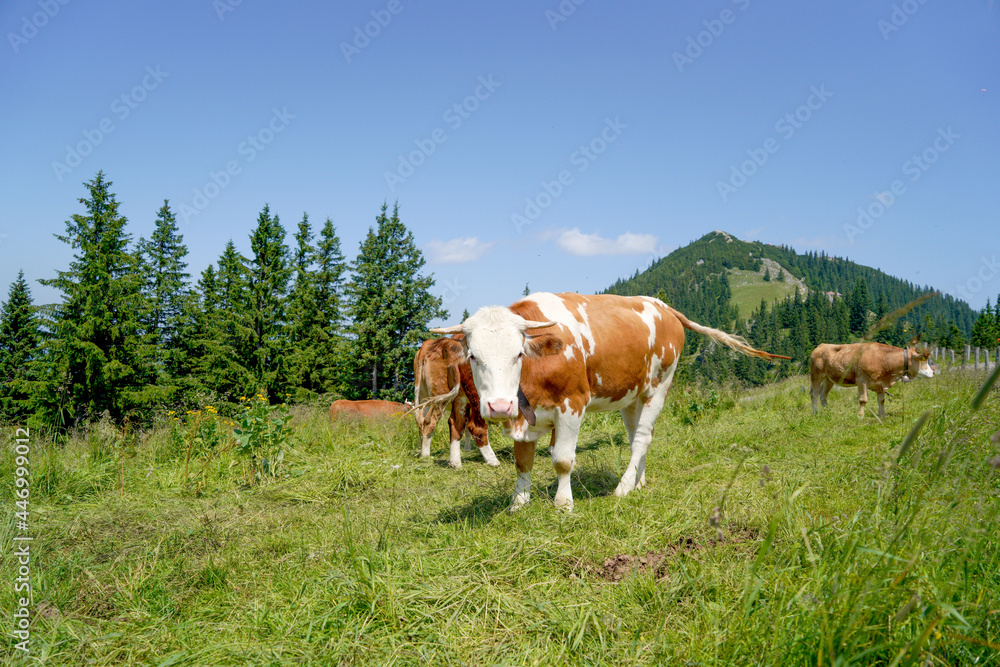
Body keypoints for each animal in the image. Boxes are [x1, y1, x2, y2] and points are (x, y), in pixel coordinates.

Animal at [430, 290, 788, 512]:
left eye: (518, 353)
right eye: (473, 357)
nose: (499, 406)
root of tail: (663, 307)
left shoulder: (572, 405)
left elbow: (562, 460)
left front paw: (563, 503)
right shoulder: (524, 416)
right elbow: (523, 462)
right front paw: (518, 503)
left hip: (660, 386)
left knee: (641, 437)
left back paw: (624, 487)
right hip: (632, 395)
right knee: (639, 437)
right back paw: (639, 481)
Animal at [804, 344, 936, 418]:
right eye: (923, 360)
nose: (933, 372)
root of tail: (821, 345)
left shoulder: (881, 383)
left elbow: (881, 401)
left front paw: (882, 415)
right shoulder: (862, 380)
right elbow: (863, 400)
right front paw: (860, 415)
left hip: (829, 379)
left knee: (823, 394)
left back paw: (827, 410)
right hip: (816, 375)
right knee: (814, 393)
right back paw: (815, 412)